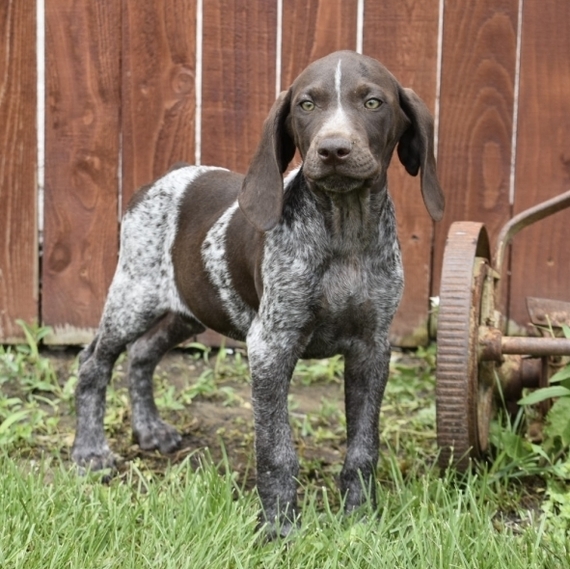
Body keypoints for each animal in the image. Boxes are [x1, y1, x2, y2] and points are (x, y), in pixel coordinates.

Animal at [71, 51, 442, 536]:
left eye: (373, 102)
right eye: (307, 105)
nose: (333, 150)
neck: (345, 230)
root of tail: (163, 178)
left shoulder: (371, 347)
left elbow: (364, 446)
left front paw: (360, 519)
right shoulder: (270, 345)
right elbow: (276, 449)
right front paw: (280, 527)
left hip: (192, 308)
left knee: (143, 354)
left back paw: (150, 429)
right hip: (134, 296)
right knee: (94, 361)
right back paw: (90, 453)